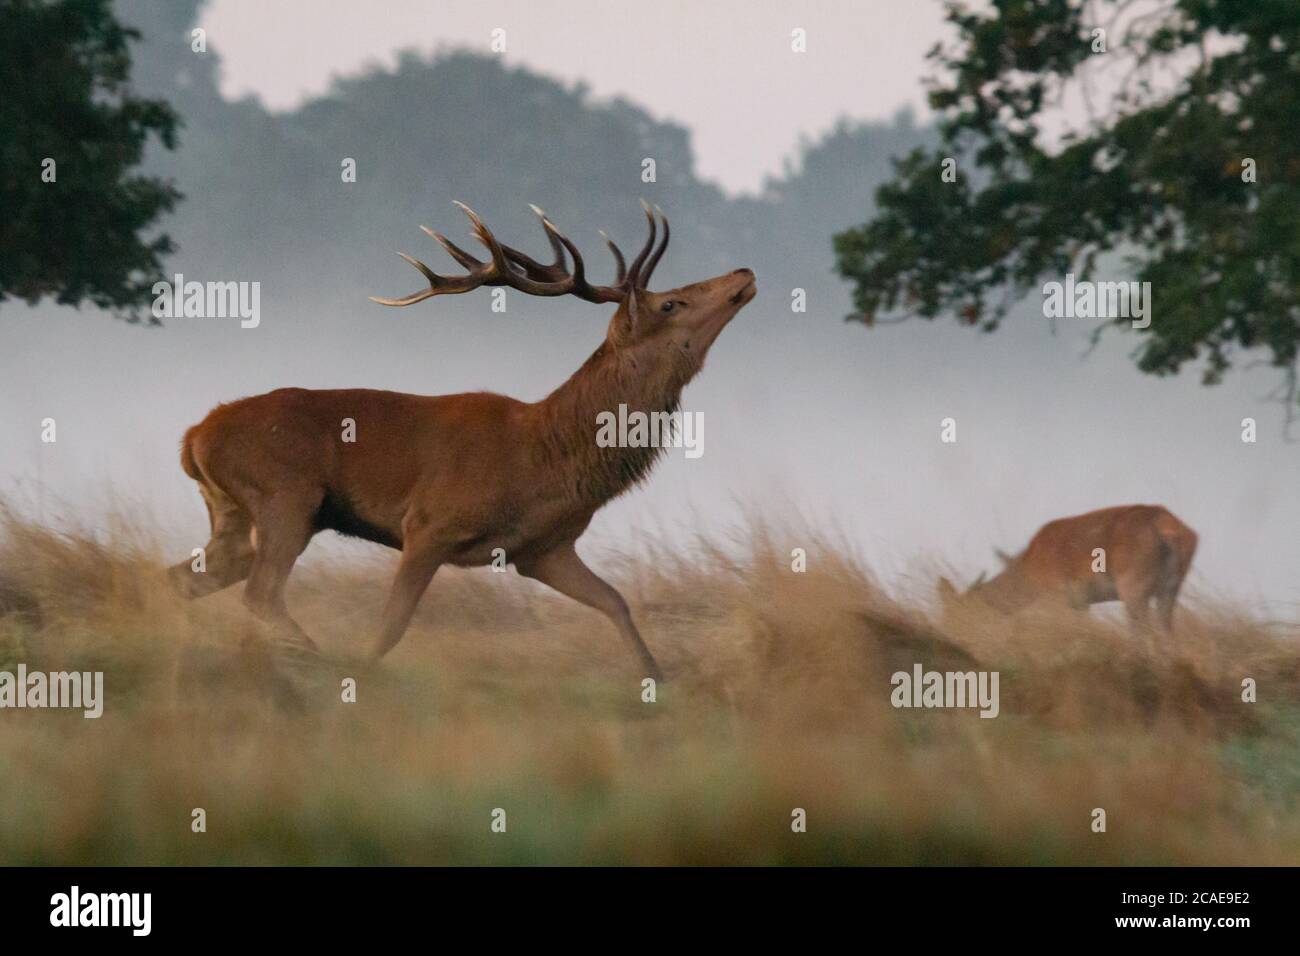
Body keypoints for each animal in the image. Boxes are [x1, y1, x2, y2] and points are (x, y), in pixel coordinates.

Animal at [170, 201, 759, 681]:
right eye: (671, 304)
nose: (745, 271)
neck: (543, 461)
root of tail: (193, 436)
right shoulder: (429, 524)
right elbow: (391, 626)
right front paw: (356, 670)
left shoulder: (544, 549)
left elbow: (616, 601)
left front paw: (658, 679)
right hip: (287, 495)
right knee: (260, 591)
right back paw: (309, 657)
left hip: (235, 512)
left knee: (187, 578)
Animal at [935, 504, 1196, 632]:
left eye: (956, 614)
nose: (947, 633)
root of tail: (1171, 531)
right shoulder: (1080, 602)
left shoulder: (1057, 598)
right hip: (1170, 589)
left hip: (1133, 586)